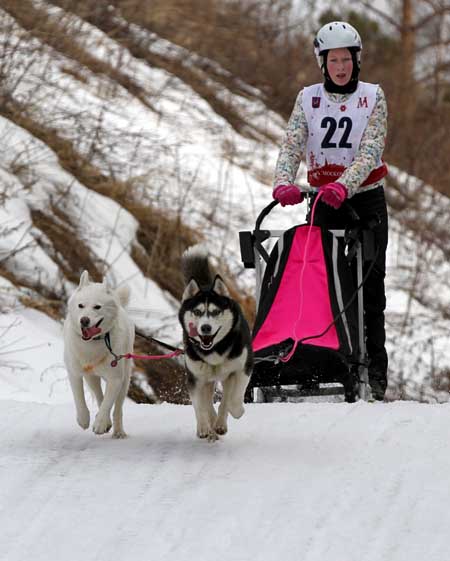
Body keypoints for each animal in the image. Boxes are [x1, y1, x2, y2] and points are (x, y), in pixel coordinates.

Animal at [63, 270, 134, 438]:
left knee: (117, 408)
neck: (92, 343)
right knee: (99, 395)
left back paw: (118, 431)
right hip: (91, 378)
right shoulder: (74, 372)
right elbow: (79, 398)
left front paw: (101, 424)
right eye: (81, 305)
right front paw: (84, 419)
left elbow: (108, 403)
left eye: (97, 307)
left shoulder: (115, 379)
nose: (84, 320)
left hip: (125, 380)